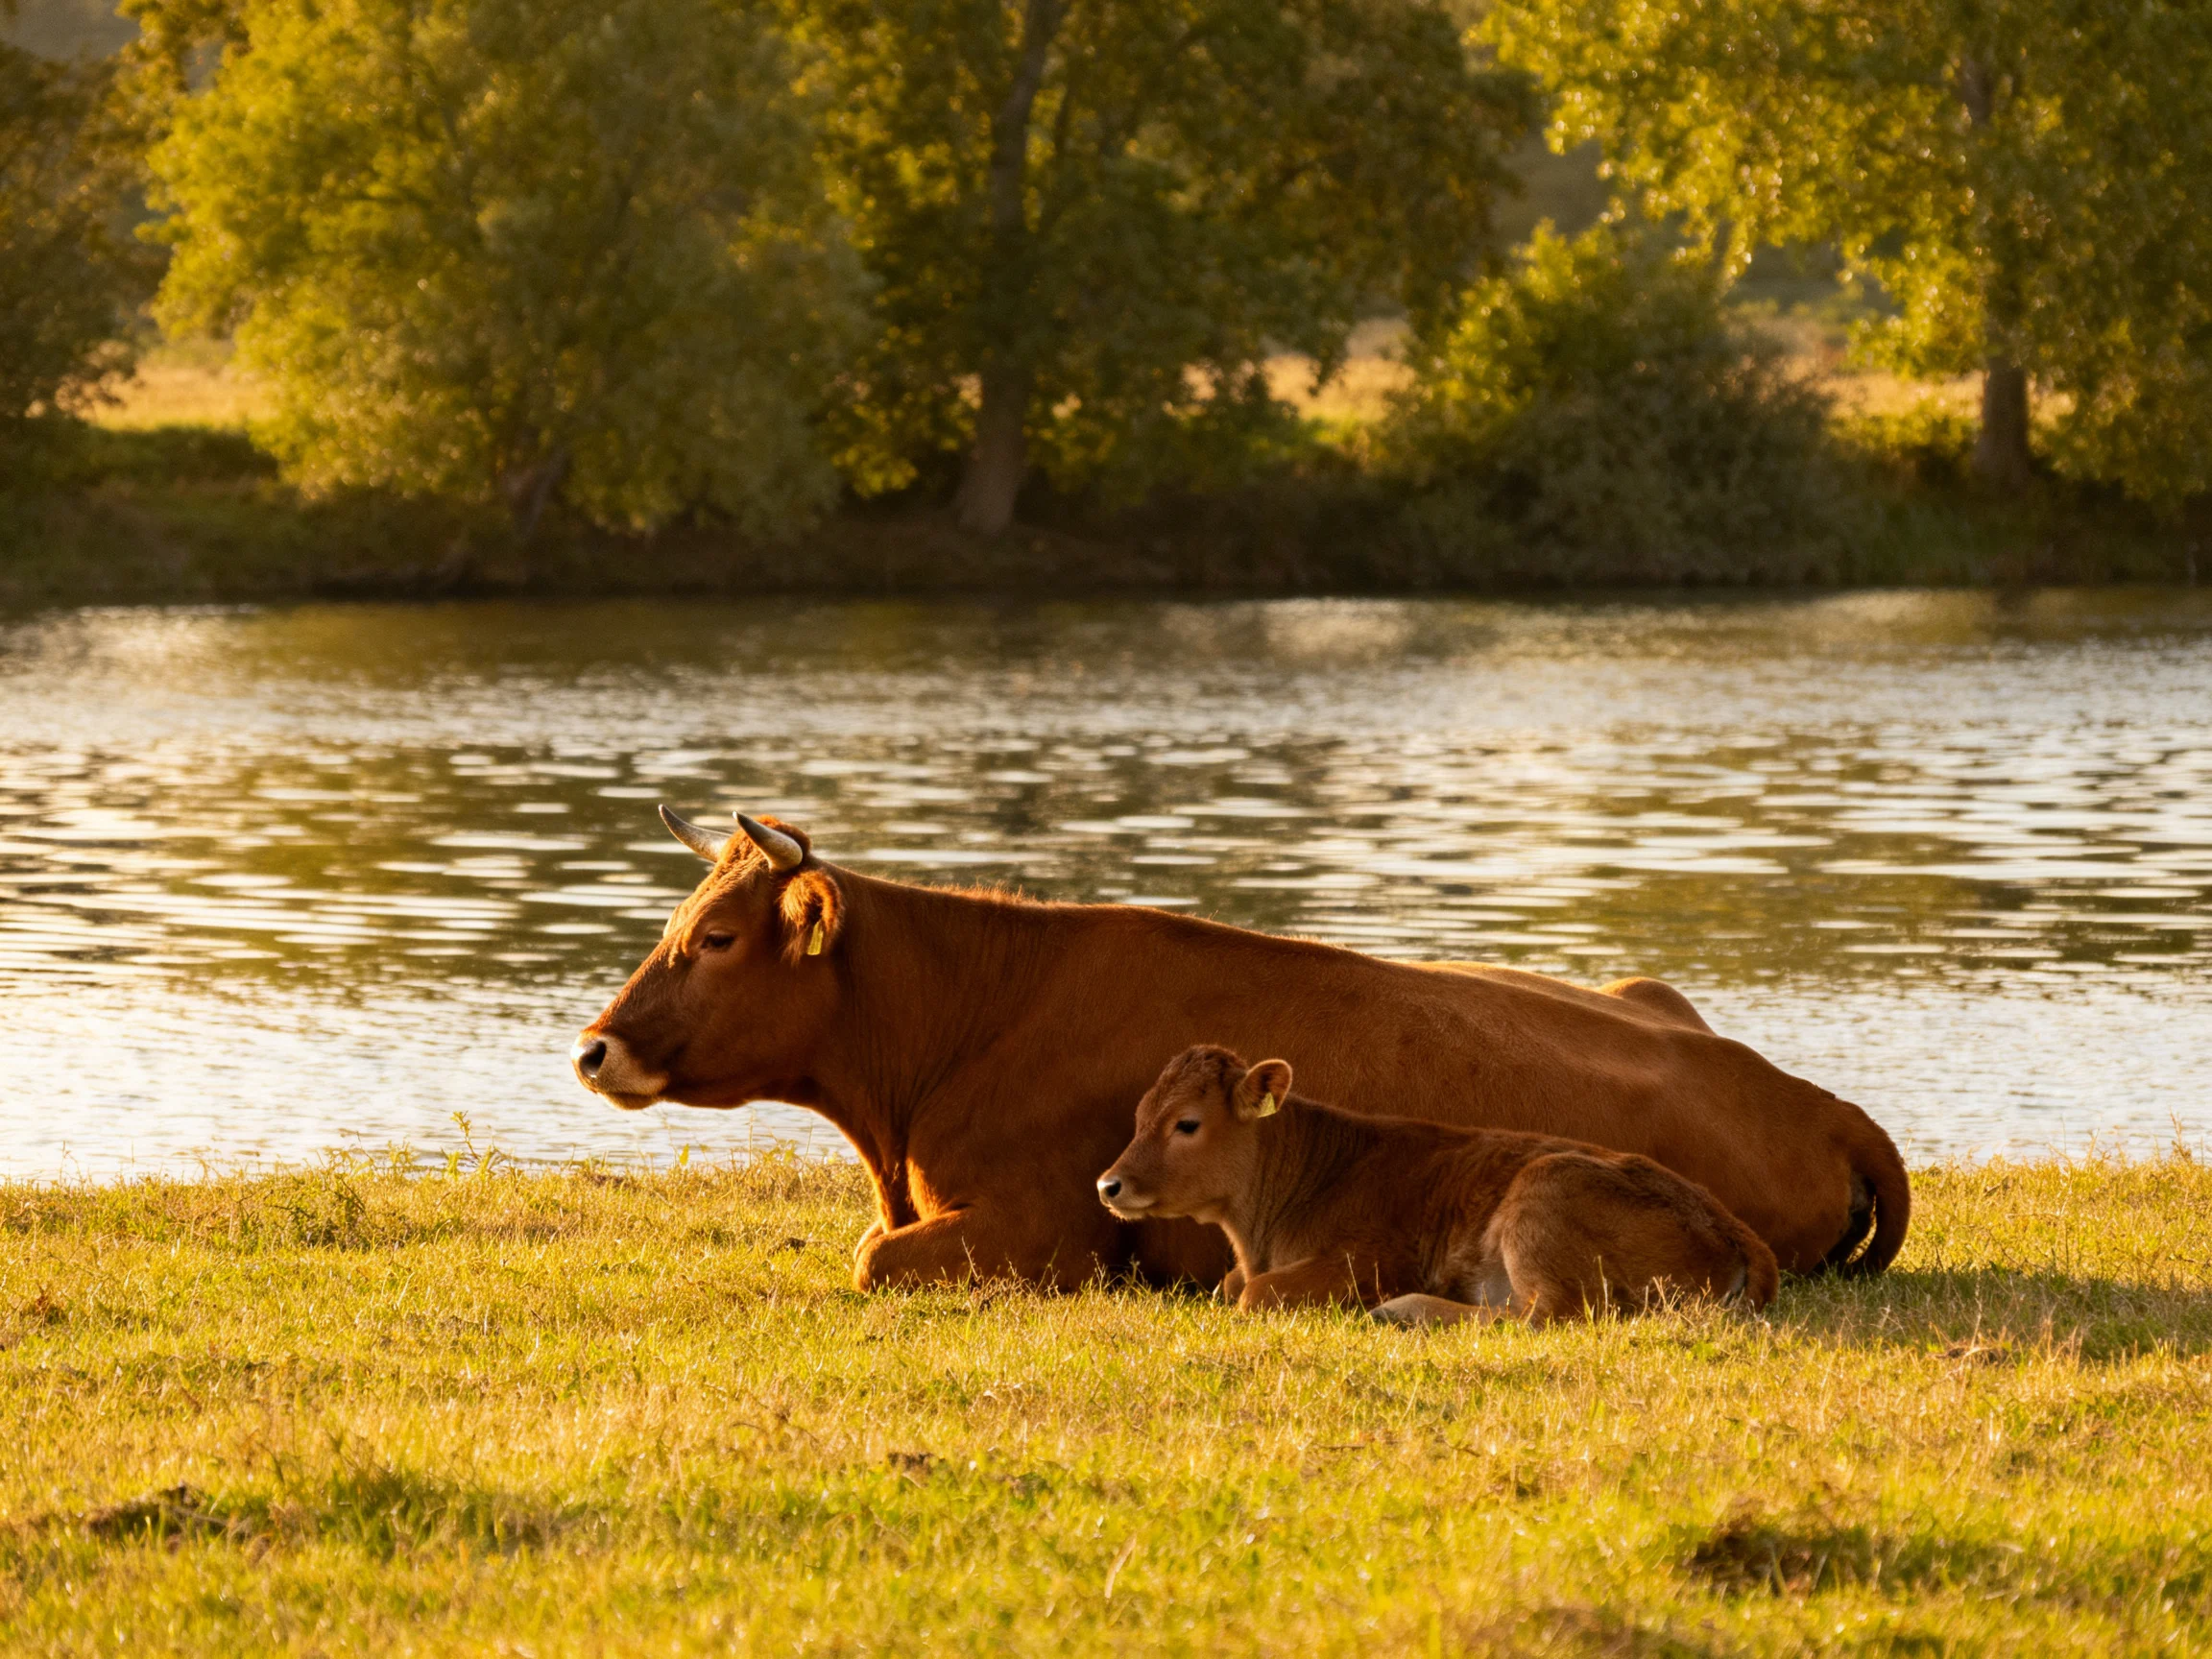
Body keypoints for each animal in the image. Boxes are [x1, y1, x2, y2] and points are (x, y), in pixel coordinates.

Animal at [1097, 1045, 1780, 1324]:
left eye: (1187, 1123)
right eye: (1139, 1115)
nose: (1110, 1185)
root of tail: (1731, 1225)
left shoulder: (1371, 1259)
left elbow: (1253, 1293)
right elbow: (1231, 1285)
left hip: (1546, 1192)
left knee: (1547, 1315)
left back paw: (1407, 1312)